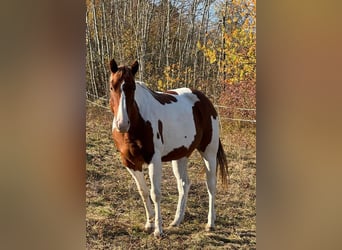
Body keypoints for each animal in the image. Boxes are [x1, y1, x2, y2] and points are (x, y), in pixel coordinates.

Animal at [108, 59, 228, 238]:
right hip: (180, 156)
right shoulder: (130, 162)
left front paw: (158, 230)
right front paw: (149, 223)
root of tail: (204, 100)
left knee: (211, 185)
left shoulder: (154, 159)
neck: (137, 123)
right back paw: (177, 220)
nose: (122, 124)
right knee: (184, 184)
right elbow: (143, 191)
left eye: (133, 88)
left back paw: (210, 223)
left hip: (209, 152)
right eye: (112, 86)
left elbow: (155, 193)